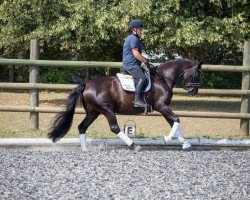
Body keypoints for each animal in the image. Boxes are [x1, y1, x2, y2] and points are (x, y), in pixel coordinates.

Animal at [47, 59, 202, 150]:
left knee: (82, 127)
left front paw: (185, 143)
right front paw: (167, 139)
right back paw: (133, 145)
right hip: (107, 109)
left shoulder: (163, 108)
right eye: (198, 73)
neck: (163, 79)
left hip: (93, 112)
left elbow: (174, 123)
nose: (194, 91)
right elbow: (176, 120)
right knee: (114, 127)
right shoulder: (162, 106)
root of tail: (86, 84)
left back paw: (84, 148)